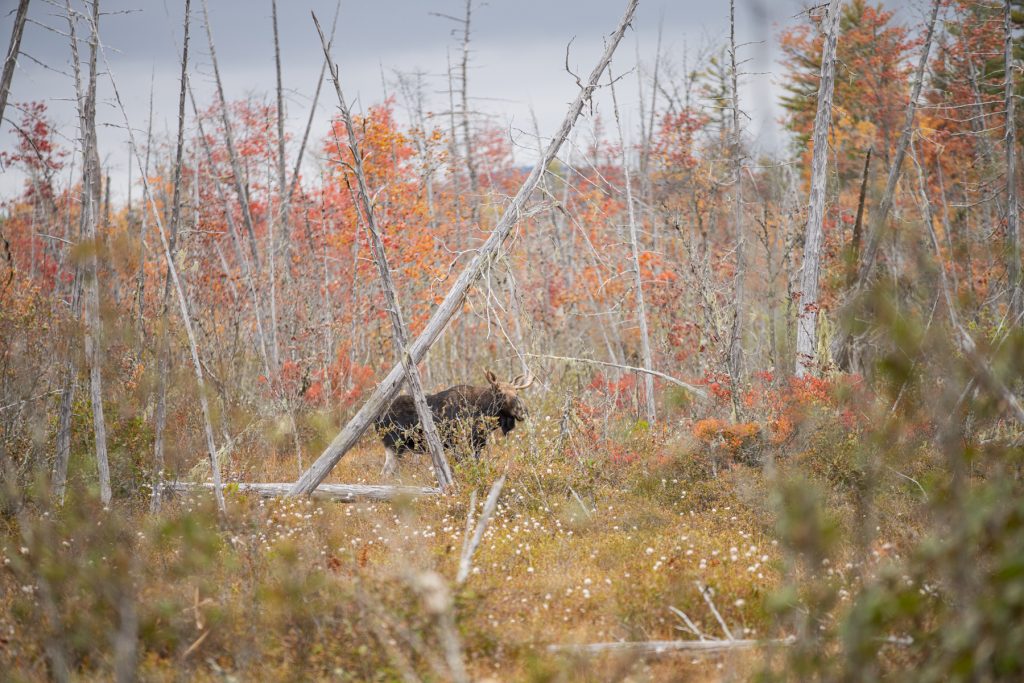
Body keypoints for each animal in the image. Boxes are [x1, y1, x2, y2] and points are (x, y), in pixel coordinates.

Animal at [376, 368, 536, 475]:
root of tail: (380, 422)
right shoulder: (461, 443)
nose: (522, 410)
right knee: (386, 472)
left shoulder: (477, 444)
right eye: (500, 393)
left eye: (517, 392)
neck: (483, 410)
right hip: (394, 446)